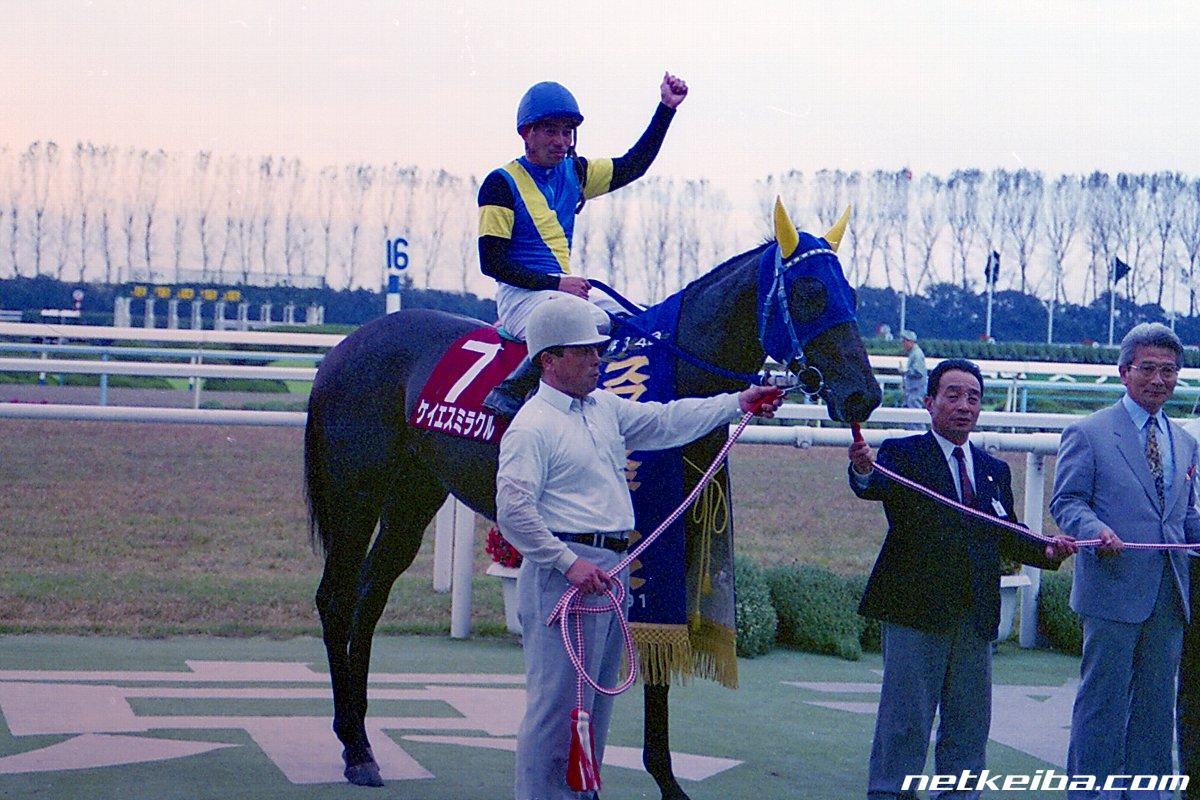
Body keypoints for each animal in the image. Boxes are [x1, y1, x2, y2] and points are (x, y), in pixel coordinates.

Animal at [304, 199, 882, 798]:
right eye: (810, 292)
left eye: (853, 294)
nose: (864, 394)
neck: (675, 372)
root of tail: (346, 347)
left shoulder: (677, 529)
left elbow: (654, 661)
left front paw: (667, 781)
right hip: (355, 494)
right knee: (336, 599)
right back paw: (355, 747)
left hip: (413, 495)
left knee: (369, 596)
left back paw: (359, 731)